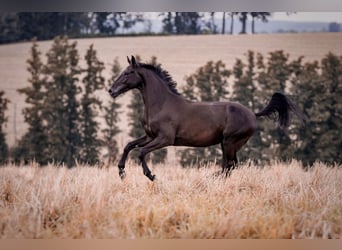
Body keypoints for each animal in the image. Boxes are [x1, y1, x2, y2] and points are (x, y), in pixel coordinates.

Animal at [108, 55, 304, 181]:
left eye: (127, 73)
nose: (111, 90)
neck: (161, 103)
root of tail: (252, 114)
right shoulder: (150, 136)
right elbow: (129, 146)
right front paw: (121, 172)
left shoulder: (165, 139)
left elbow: (141, 152)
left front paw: (151, 175)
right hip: (227, 144)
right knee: (230, 165)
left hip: (230, 142)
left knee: (229, 165)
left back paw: (211, 178)